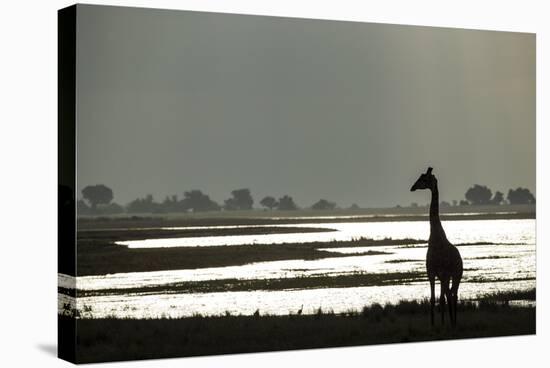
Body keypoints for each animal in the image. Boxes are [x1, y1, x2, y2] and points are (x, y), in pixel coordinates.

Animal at [412, 168, 464, 326]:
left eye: (424, 178)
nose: (412, 187)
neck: (436, 236)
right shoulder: (433, 273)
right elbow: (434, 298)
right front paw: (435, 324)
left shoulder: (440, 273)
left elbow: (440, 299)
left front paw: (440, 324)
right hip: (449, 276)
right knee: (450, 293)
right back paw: (451, 322)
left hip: (457, 274)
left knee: (452, 294)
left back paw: (453, 322)